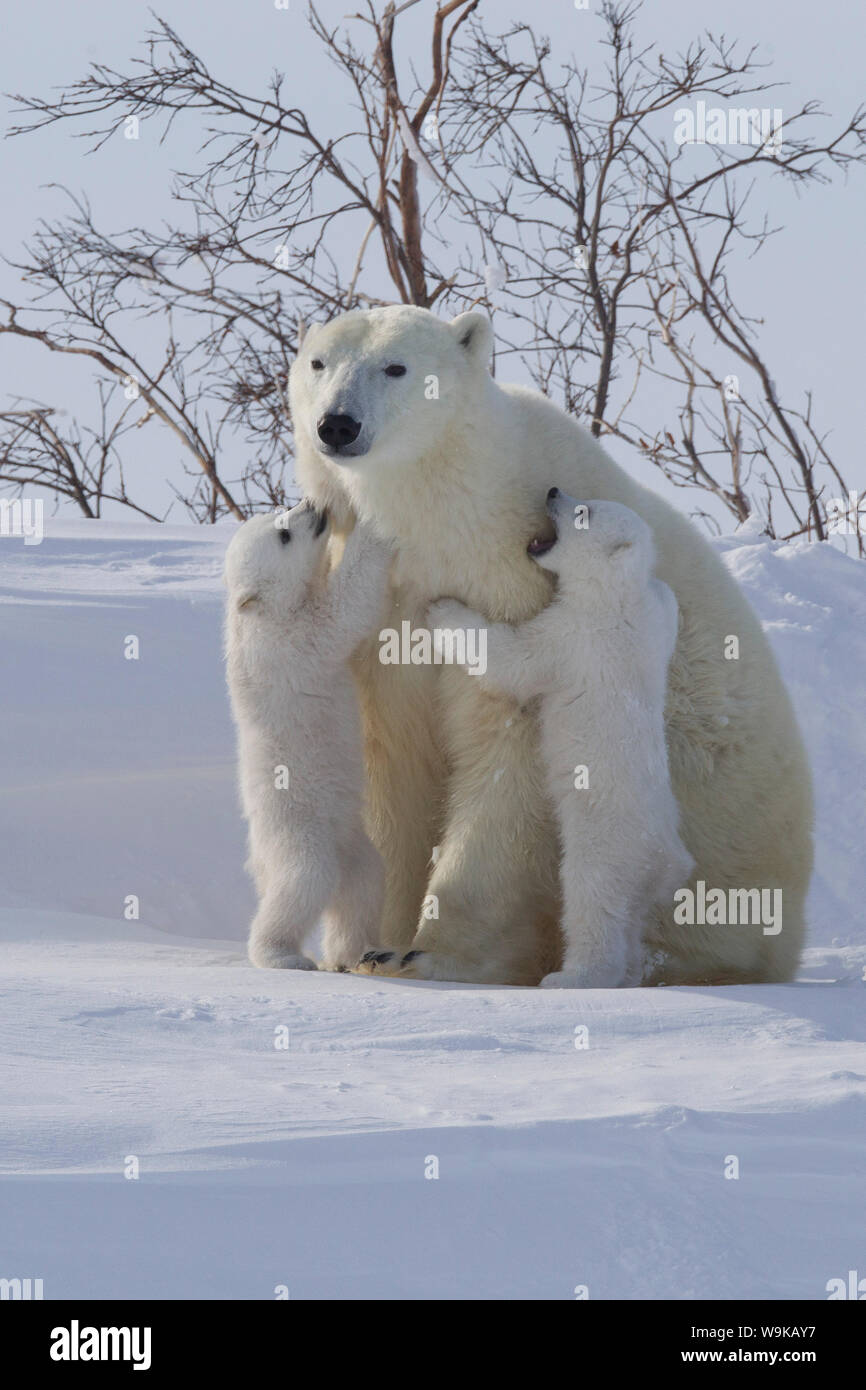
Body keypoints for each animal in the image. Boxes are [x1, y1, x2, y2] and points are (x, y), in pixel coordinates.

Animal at [223, 505, 389, 973]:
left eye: (276, 513)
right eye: (282, 534)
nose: (314, 508)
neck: (258, 614)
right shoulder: (289, 641)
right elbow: (341, 613)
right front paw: (373, 523)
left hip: (348, 838)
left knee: (364, 883)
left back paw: (354, 953)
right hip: (297, 827)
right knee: (304, 881)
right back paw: (286, 956)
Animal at [428, 489, 697, 989]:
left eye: (583, 512)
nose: (553, 491)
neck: (614, 598)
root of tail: (668, 859)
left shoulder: (572, 638)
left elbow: (511, 659)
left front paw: (442, 610)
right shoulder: (656, 617)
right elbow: (667, 600)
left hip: (605, 843)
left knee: (593, 901)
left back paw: (571, 977)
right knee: (630, 922)